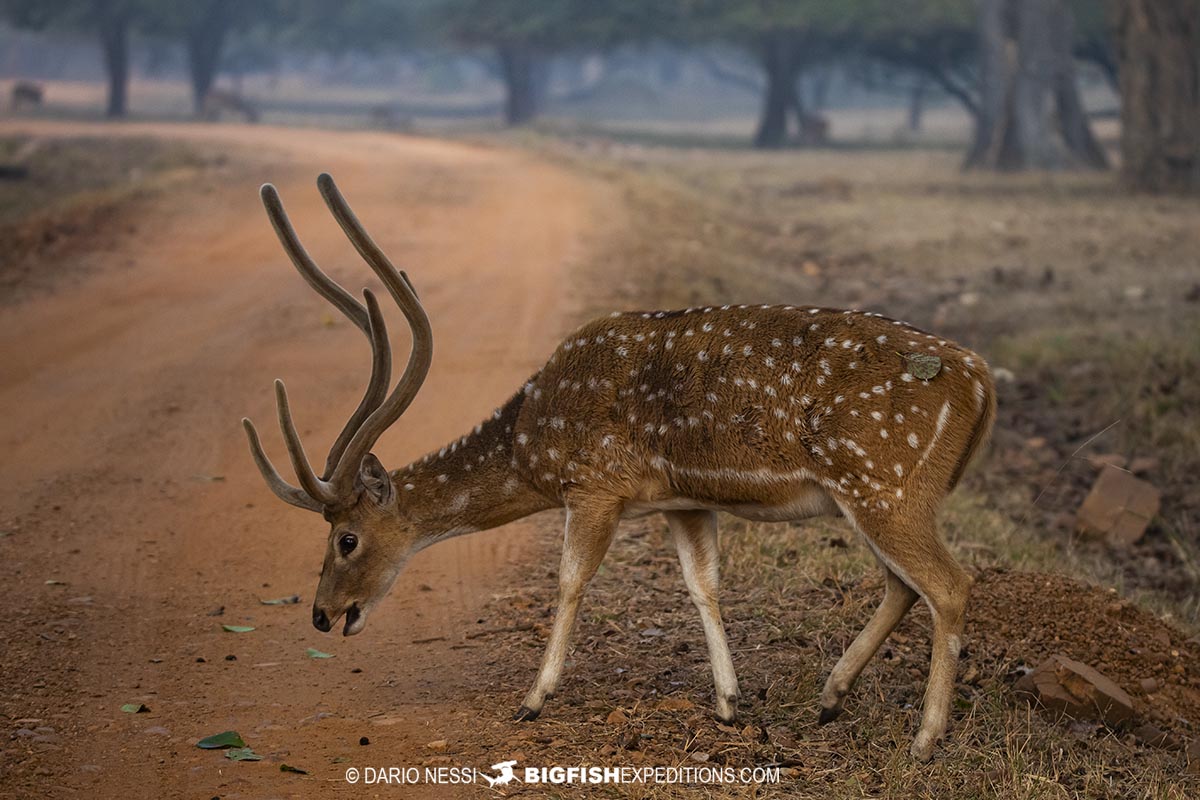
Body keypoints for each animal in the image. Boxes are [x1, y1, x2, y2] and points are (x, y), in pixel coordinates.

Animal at [243, 172, 993, 762]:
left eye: (346, 538)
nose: (321, 614)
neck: (531, 439)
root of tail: (982, 382)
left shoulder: (595, 484)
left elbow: (571, 579)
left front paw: (533, 698)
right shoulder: (685, 500)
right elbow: (703, 585)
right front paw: (730, 703)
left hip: (884, 484)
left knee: (950, 584)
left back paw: (925, 739)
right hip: (882, 494)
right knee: (904, 585)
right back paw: (831, 698)